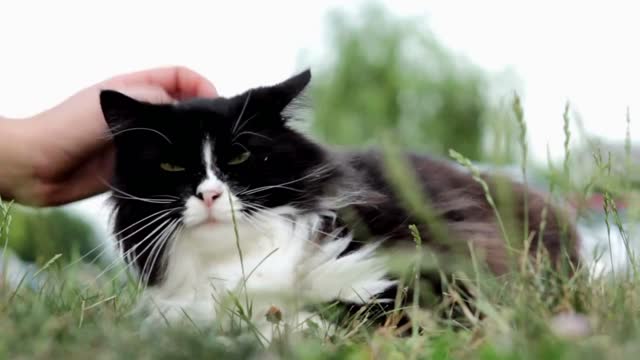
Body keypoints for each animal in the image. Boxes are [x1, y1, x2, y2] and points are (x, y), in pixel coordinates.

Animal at [99, 68, 580, 340]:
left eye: (238, 157)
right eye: (171, 166)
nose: (210, 195)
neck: (240, 262)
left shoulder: (426, 282)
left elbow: (321, 321)